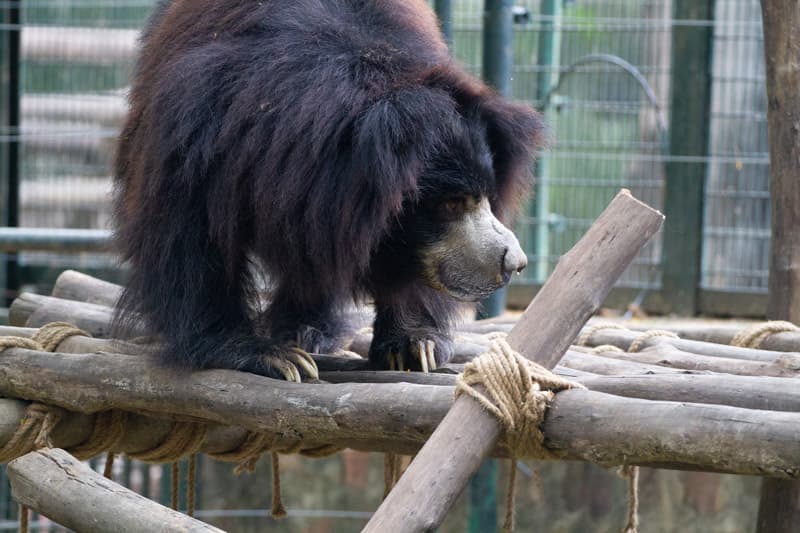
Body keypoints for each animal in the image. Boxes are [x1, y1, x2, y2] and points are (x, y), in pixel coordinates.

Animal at [113, 0, 543, 380]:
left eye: (486, 197)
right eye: (452, 204)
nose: (514, 263)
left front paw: (414, 345)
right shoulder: (202, 137)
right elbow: (193, 237)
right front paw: (267, 356)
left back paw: (310, 330)